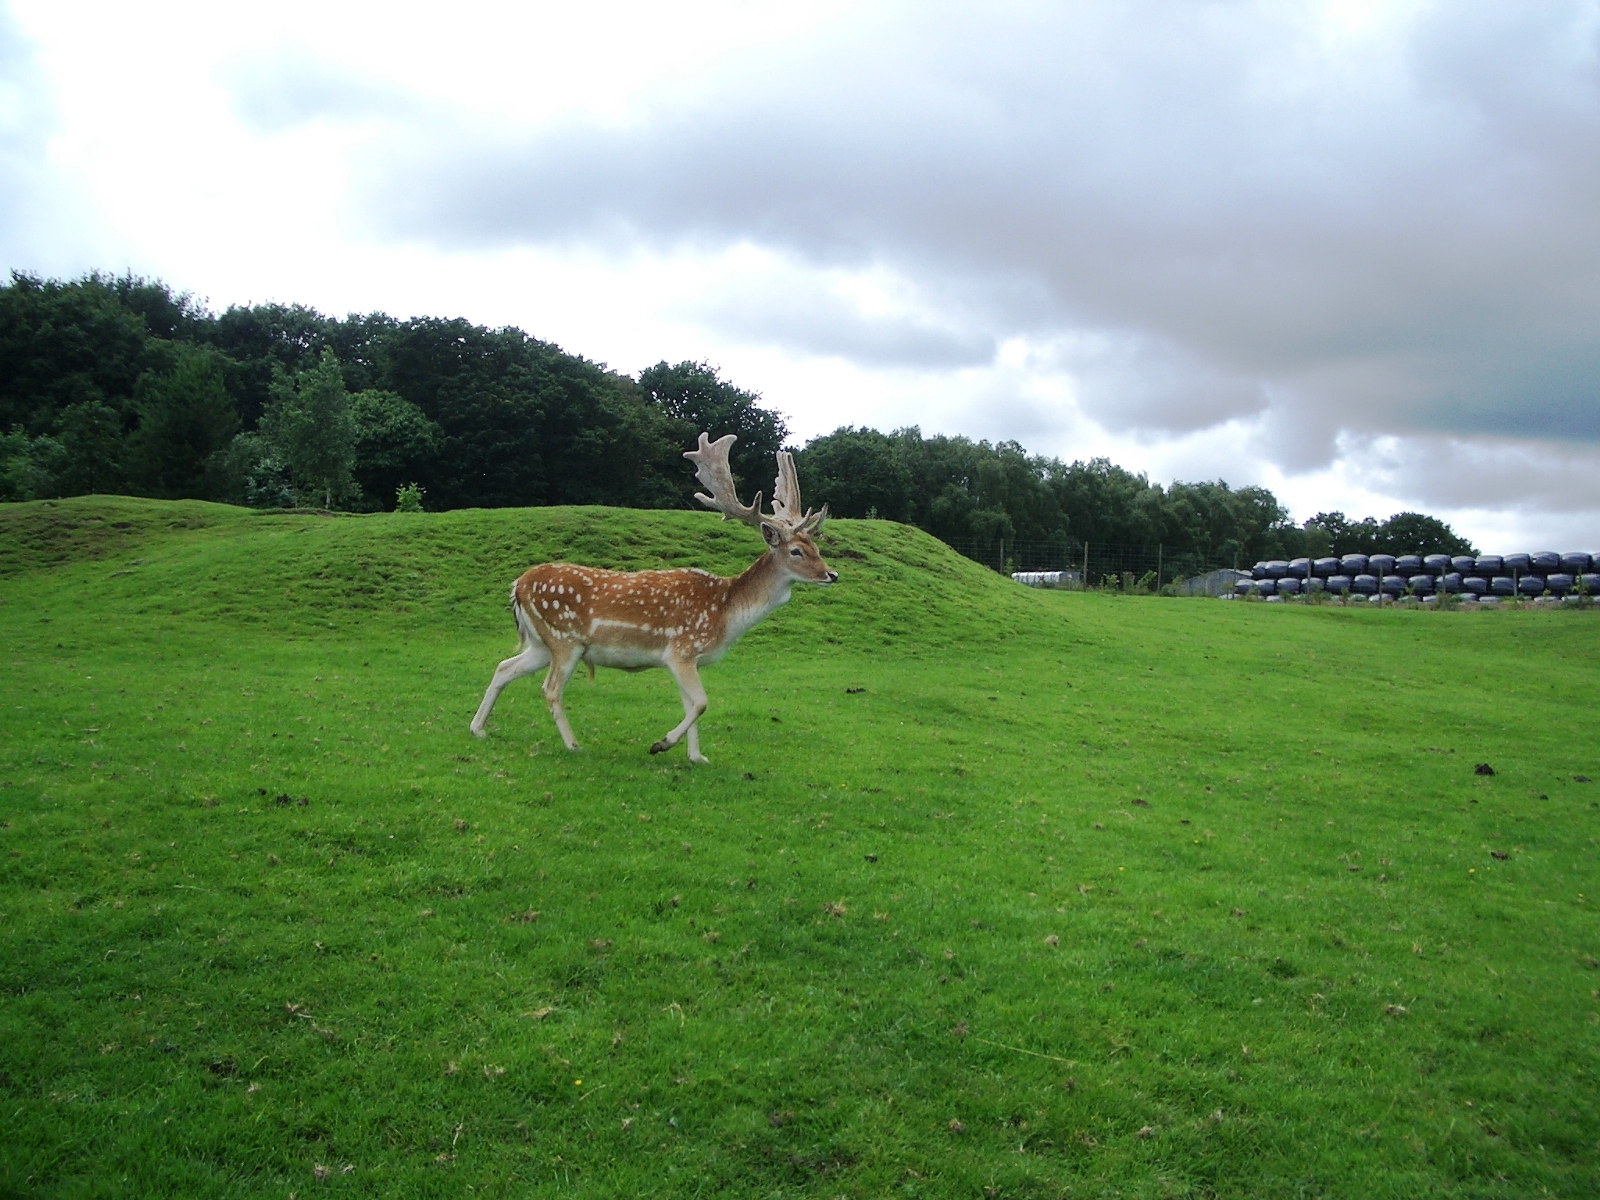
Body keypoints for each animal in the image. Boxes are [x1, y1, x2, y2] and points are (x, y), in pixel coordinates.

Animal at [469, 433, 837, 763]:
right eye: (796, 551)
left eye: (816, 547)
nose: (832, 575)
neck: (725, 614)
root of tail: (517, 585)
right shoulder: (681, 649)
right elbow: (701, 702)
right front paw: (662, 744)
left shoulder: (686, 659)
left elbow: (691, 704)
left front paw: (696, 757)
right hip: (564, 638)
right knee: (550, 689)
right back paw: (573, 745)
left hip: (540, 643)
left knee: (504, 667)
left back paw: (478, 728)